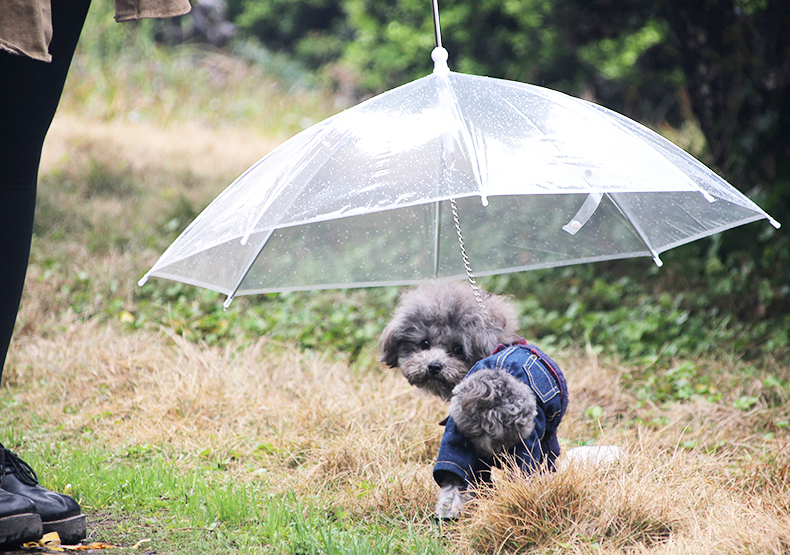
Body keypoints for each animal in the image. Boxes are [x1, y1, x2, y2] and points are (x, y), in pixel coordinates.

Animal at [380, 282, 568, 520]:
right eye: (425, 343)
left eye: (458, 349)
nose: (434, 366)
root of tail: (493, 391)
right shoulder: (548, 442)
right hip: (528, 450)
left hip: (458, 439)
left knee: (454, 479)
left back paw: (449, 512)